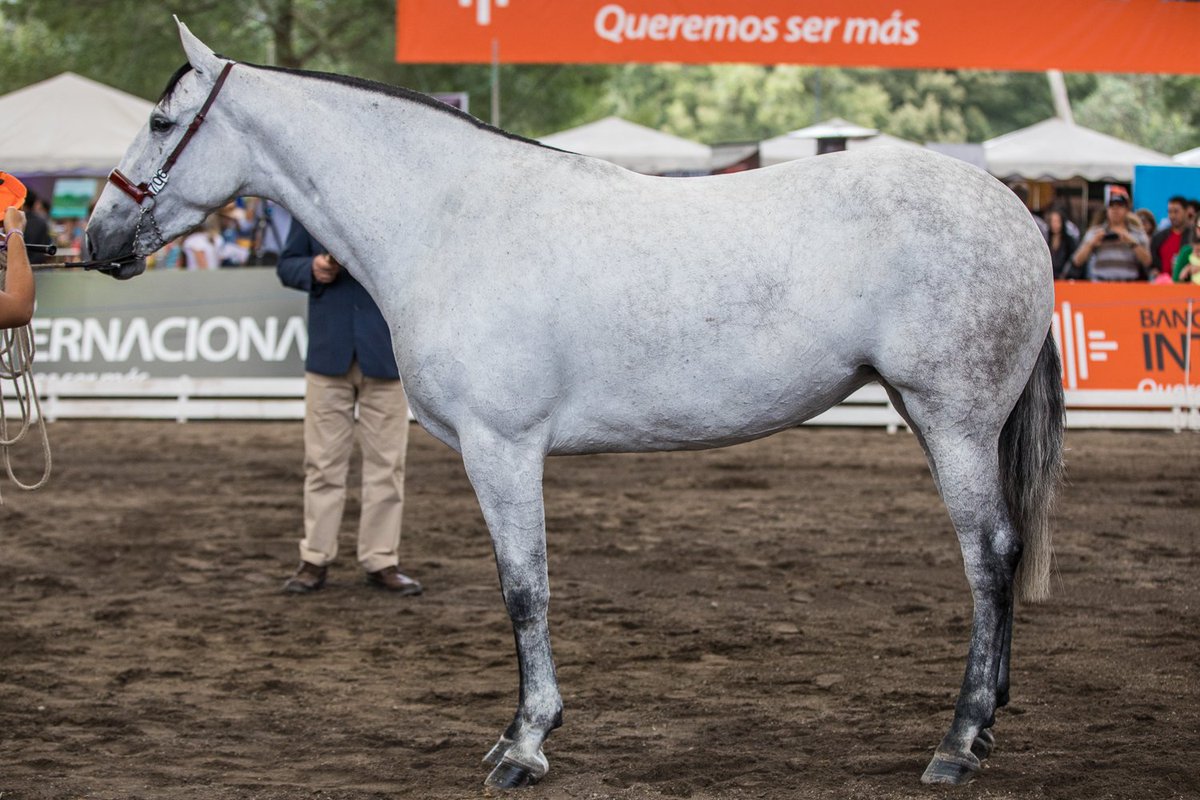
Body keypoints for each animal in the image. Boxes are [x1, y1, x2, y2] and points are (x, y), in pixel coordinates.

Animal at [85, 20, 1064, 790]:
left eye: (163, 121)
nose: (95, 237)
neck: (450, 218)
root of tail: (1015, 210)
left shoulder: (503, 448)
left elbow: (525, 589)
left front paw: (524, 744)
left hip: (955, 422)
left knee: (990, 556)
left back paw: (958, 741)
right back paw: (988, 719)